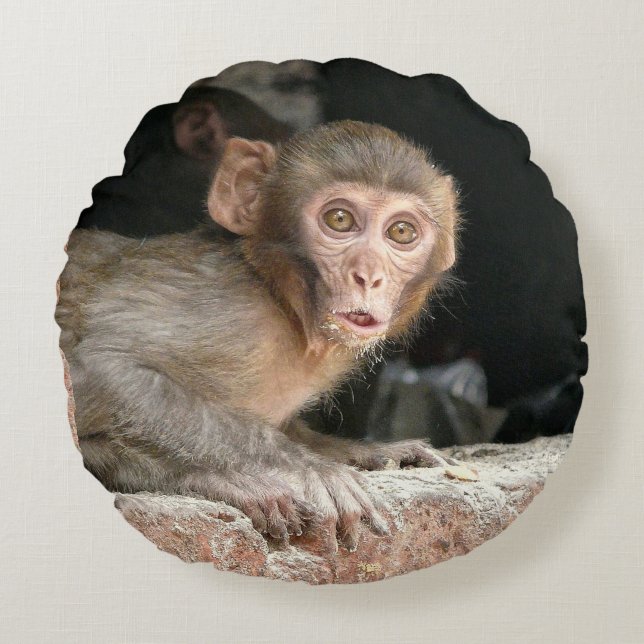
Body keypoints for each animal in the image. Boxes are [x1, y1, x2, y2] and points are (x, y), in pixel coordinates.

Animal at [56, 120, 460, 551]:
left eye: (401, 231)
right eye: (339, 220)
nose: (369, 276)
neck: (284, 305)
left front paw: (365, 451)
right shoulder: (229, 310)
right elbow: (94, 364)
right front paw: (308, 468)